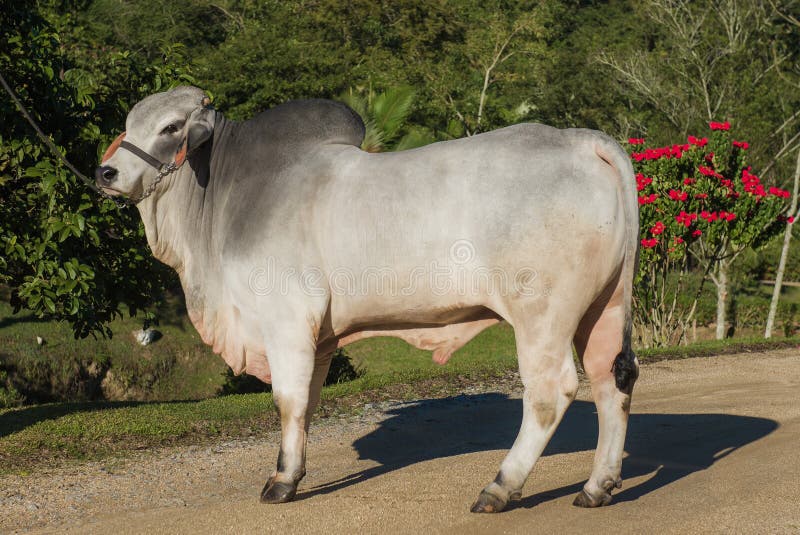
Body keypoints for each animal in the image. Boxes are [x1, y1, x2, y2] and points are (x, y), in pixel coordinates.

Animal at [95, 85, 639, 513]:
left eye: (170, 126)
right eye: (127, 124)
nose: (105, 174)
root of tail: (580, 140)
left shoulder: (286, 320)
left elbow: (287, 399)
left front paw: (280, 482)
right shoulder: (319, 338)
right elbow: (307, 402)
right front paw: (293, 473)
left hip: (542, 314)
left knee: (551, 392)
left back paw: (501, 487)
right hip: (603, 307)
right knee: (611, 380)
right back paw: (597, 486)